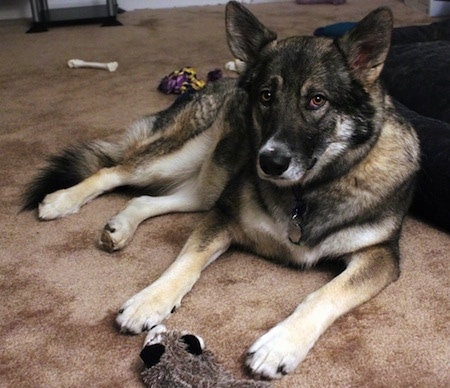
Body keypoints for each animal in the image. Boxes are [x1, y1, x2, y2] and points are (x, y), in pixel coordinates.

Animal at [22, 2, 420, 378]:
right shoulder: (225, 214)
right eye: (266, 96)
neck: (308, 190)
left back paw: (120, 226)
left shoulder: (379, 255)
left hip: (206, 186)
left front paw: (280, 345)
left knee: (146, 197)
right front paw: (150, 301)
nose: (269, 162)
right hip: (184, 158)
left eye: (317, 100)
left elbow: (326, 294)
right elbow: (185, 262)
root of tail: (219, 83)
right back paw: (62, 200)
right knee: (114, 171)